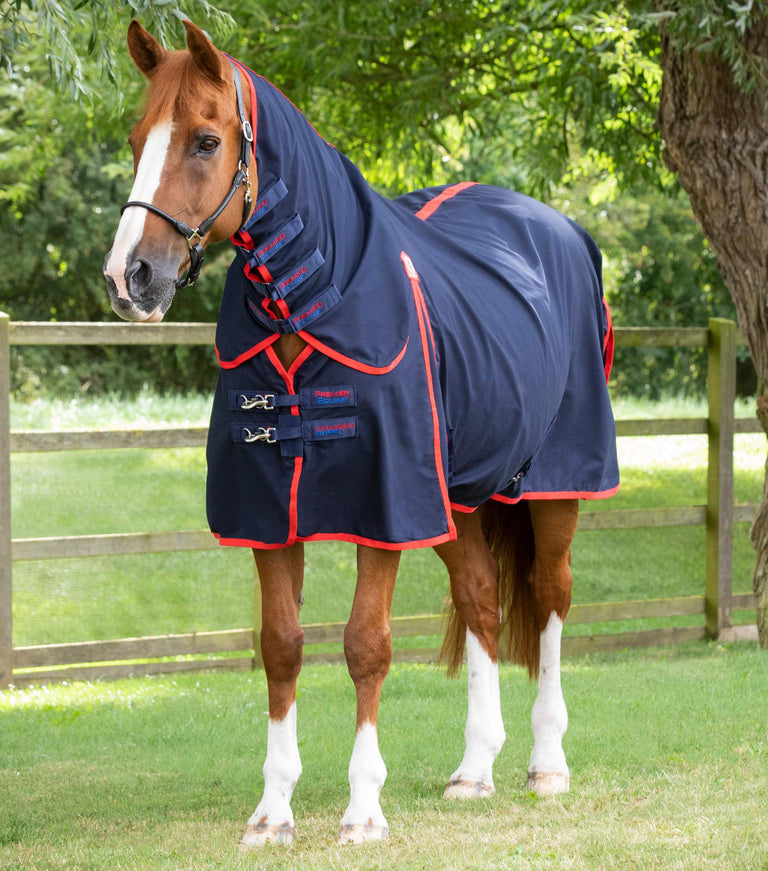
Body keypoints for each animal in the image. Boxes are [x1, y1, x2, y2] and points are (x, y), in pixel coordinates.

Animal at [103, 20, 619, 847]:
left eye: (207, 141)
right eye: (134, 139)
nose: (130, 278)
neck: (317, 301)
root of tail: (555, 228)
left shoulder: (385, 506)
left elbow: (366, 645)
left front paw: (363, 808)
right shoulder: (272, 513)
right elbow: (281, 647)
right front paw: (273, 811)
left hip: (553, 487)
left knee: (549, 598)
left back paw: (547, 763)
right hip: (457, 497)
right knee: (481, 597)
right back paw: (474, 768)